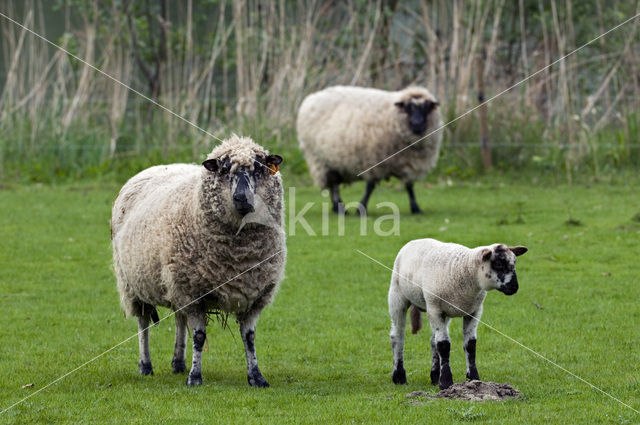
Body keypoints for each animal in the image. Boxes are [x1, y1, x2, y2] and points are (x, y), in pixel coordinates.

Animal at [111, 134, 286, 386]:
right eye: (224, 169)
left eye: (259, 168)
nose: (241, 198)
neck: (238, 256)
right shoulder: (192, 293)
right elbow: (200, 336)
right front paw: (195, 377)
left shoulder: (256, 294)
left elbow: (249, 337)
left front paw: (256, 377)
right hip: (133, 285)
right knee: (143, 324)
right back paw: (146, 365)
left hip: (173, 282)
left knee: (179, 319)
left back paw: (178, 363)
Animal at [296, 85, 442, 214]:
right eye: (408, 108)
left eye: (426, 108)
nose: (417, 124)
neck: (393, 116)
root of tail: (311, 98)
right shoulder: (373, 161)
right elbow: (370, 187)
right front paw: (361, 208)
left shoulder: (409, 163)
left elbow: (409, 186)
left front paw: (416, 208)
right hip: (319, 159)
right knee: (334, 185)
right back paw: (340, 209)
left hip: (332, 161)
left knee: (333, 185)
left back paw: (336, 208)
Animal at [388, 238, 528, 388]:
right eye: (498, 263)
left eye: (514, 262)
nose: (514, 287)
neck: (466, 269)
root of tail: (415, 240)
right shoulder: (435, 309)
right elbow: (444, 345)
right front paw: (446, 382)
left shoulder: (474, 311)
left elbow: (470, 345)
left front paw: (473, 378)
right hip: (397, 296)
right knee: (398, 336)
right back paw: (399, 377)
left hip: (443, 314)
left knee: (433, 341)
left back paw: (435, 376)